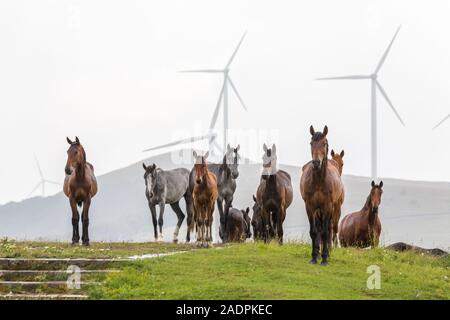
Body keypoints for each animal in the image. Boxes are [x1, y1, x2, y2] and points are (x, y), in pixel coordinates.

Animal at [302, 125, 344, 264]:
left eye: (324, 143)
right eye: (311, 143)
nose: (316, 163)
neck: (319, 182)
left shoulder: (327, 206)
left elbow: (326, 232)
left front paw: (325, 258)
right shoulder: (310, 207)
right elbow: (314, 232)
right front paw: (314, 257)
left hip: (333, 208)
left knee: (329, 229)